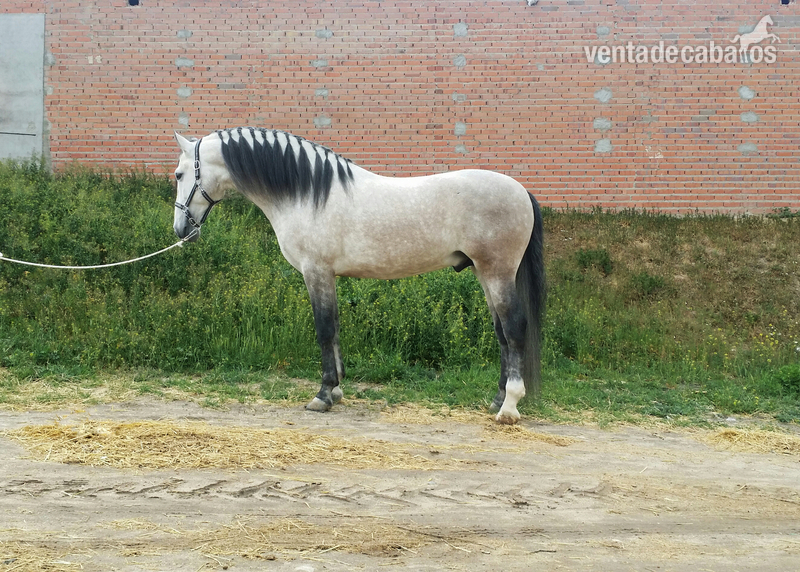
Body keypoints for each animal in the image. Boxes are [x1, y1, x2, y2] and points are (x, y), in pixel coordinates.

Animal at [172, 127, 545, 424]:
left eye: (178, 175)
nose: (181, 230)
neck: (307, 195)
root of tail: (521, 191)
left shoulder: (317, 271)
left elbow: (324, 329)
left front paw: (323, 395)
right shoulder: (328, 276)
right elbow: (335, 327)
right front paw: (337, 391)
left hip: (497, 272)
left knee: (514, 328)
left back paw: (509, 408)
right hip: (485, 274)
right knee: (501, 332)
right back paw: (497, 399)